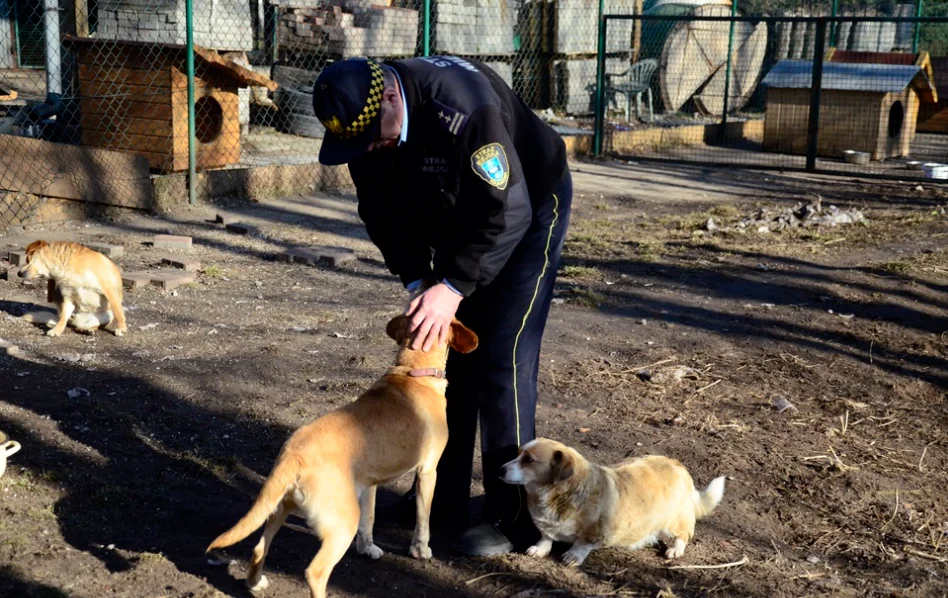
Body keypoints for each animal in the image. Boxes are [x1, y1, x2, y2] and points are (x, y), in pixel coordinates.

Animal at [205, 314, 478, 598]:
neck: (412, 372)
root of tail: (294, 455)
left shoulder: (369, 484)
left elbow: (369, 521)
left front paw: (367, 548)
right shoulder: (427, 472)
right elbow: (423, 520)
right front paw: (421, 550)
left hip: (279, 507)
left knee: (259, 548)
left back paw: (255, 583)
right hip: (342, 525)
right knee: (315, 572)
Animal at [500, 438, 724, 568]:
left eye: (529, 460)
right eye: (518, 454)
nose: (500, 469)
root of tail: (679, 466)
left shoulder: (592, 532)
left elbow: (581, 544)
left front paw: (572, 556)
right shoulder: (547, 527)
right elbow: (546, 537)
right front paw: (540, 549)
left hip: (674, 521)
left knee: (683, 534)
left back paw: (676, 549)